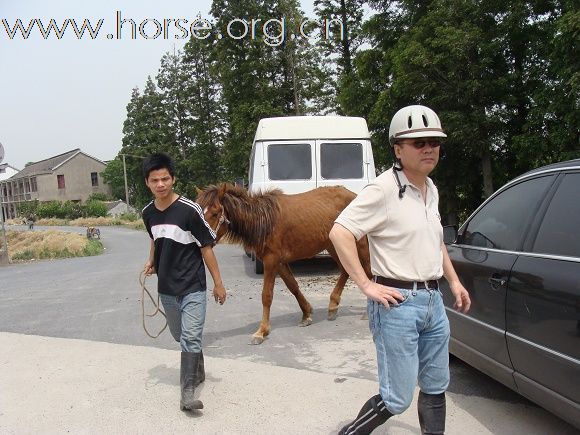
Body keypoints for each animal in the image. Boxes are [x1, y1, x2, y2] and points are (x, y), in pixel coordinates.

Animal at [197, 183, 370, 344]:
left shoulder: (271, 261)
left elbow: (266, 295)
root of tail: (355, 195)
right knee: (345, 270)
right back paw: (333, 305)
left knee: (368, 273)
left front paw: (261, 331)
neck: (263, 220)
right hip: (333, 245)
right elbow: (293, 286)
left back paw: (366, 312)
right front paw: (306, 314)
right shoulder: (279, 263)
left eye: (215, 213)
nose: (202, 242)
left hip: (360, 245)